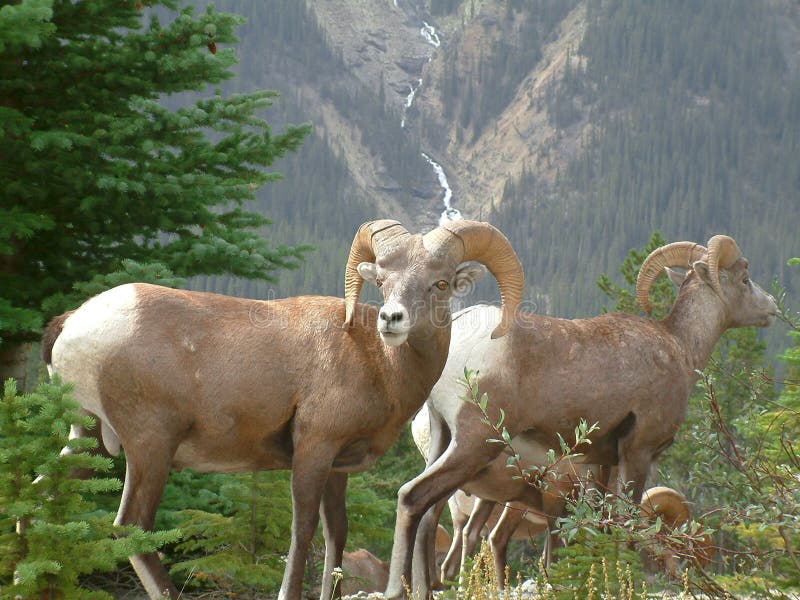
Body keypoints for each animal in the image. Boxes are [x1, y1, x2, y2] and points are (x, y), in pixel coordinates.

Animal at [42, 220, 524, 600]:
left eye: (440, 283)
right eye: (384, 282)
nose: (392, 319)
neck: (377, 363)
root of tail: (73, 323)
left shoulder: (337, 468)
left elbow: (336, 534)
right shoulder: (313, 450)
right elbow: (302, 531)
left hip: (86, 440)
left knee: (46, 498)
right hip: (149, 447)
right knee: (132, 527)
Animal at [388, 233, 776, 596]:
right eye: (744, 278)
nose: (772, 307)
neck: (678, 347)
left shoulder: (602, 464)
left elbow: (604, 525)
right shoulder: (638, 452)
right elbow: (626, 522)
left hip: (444, 440)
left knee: (429, 516)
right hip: (474, 443)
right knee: (412, 497)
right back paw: (400, 589)